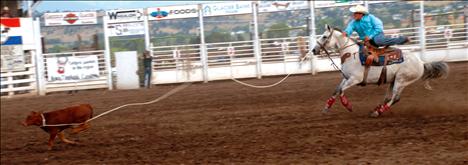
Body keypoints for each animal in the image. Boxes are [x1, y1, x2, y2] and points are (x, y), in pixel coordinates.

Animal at [312, 24, 448, 117]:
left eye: (324, 36)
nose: (313, 50)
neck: (350, 54)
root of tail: (421, 63)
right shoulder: (346, 78)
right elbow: (336, 90)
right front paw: (326, 108)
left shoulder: (355, 79)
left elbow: (341, 91)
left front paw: (348, 106)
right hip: (394, 81)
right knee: (388, 98)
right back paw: (376, 109)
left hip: (401, 80)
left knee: (395, 98)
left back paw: (378, 112)